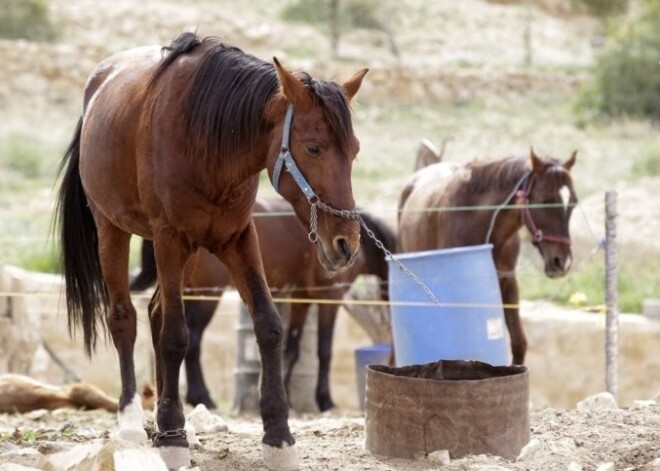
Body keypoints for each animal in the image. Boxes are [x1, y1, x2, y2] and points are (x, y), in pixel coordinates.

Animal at [56, 33, 366, 471]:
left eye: (354, 150)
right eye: (314, 148)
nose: (346, 242)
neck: (210, 142)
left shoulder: (238, 239)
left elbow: (268, 326)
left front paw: (278, 437)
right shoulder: (170, 238)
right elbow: (175, 336)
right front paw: (173, 437)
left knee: (154, 313)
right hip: (113, 232)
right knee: (125, 319)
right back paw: (133, 422)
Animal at [131, 199, 394, 412]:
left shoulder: (300, 299)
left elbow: (292, 349)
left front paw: (286, 395)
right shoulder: (331, 298)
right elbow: (324, 351)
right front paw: (324, 400)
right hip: (207, 295)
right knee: (194, 341)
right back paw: (202, 397)